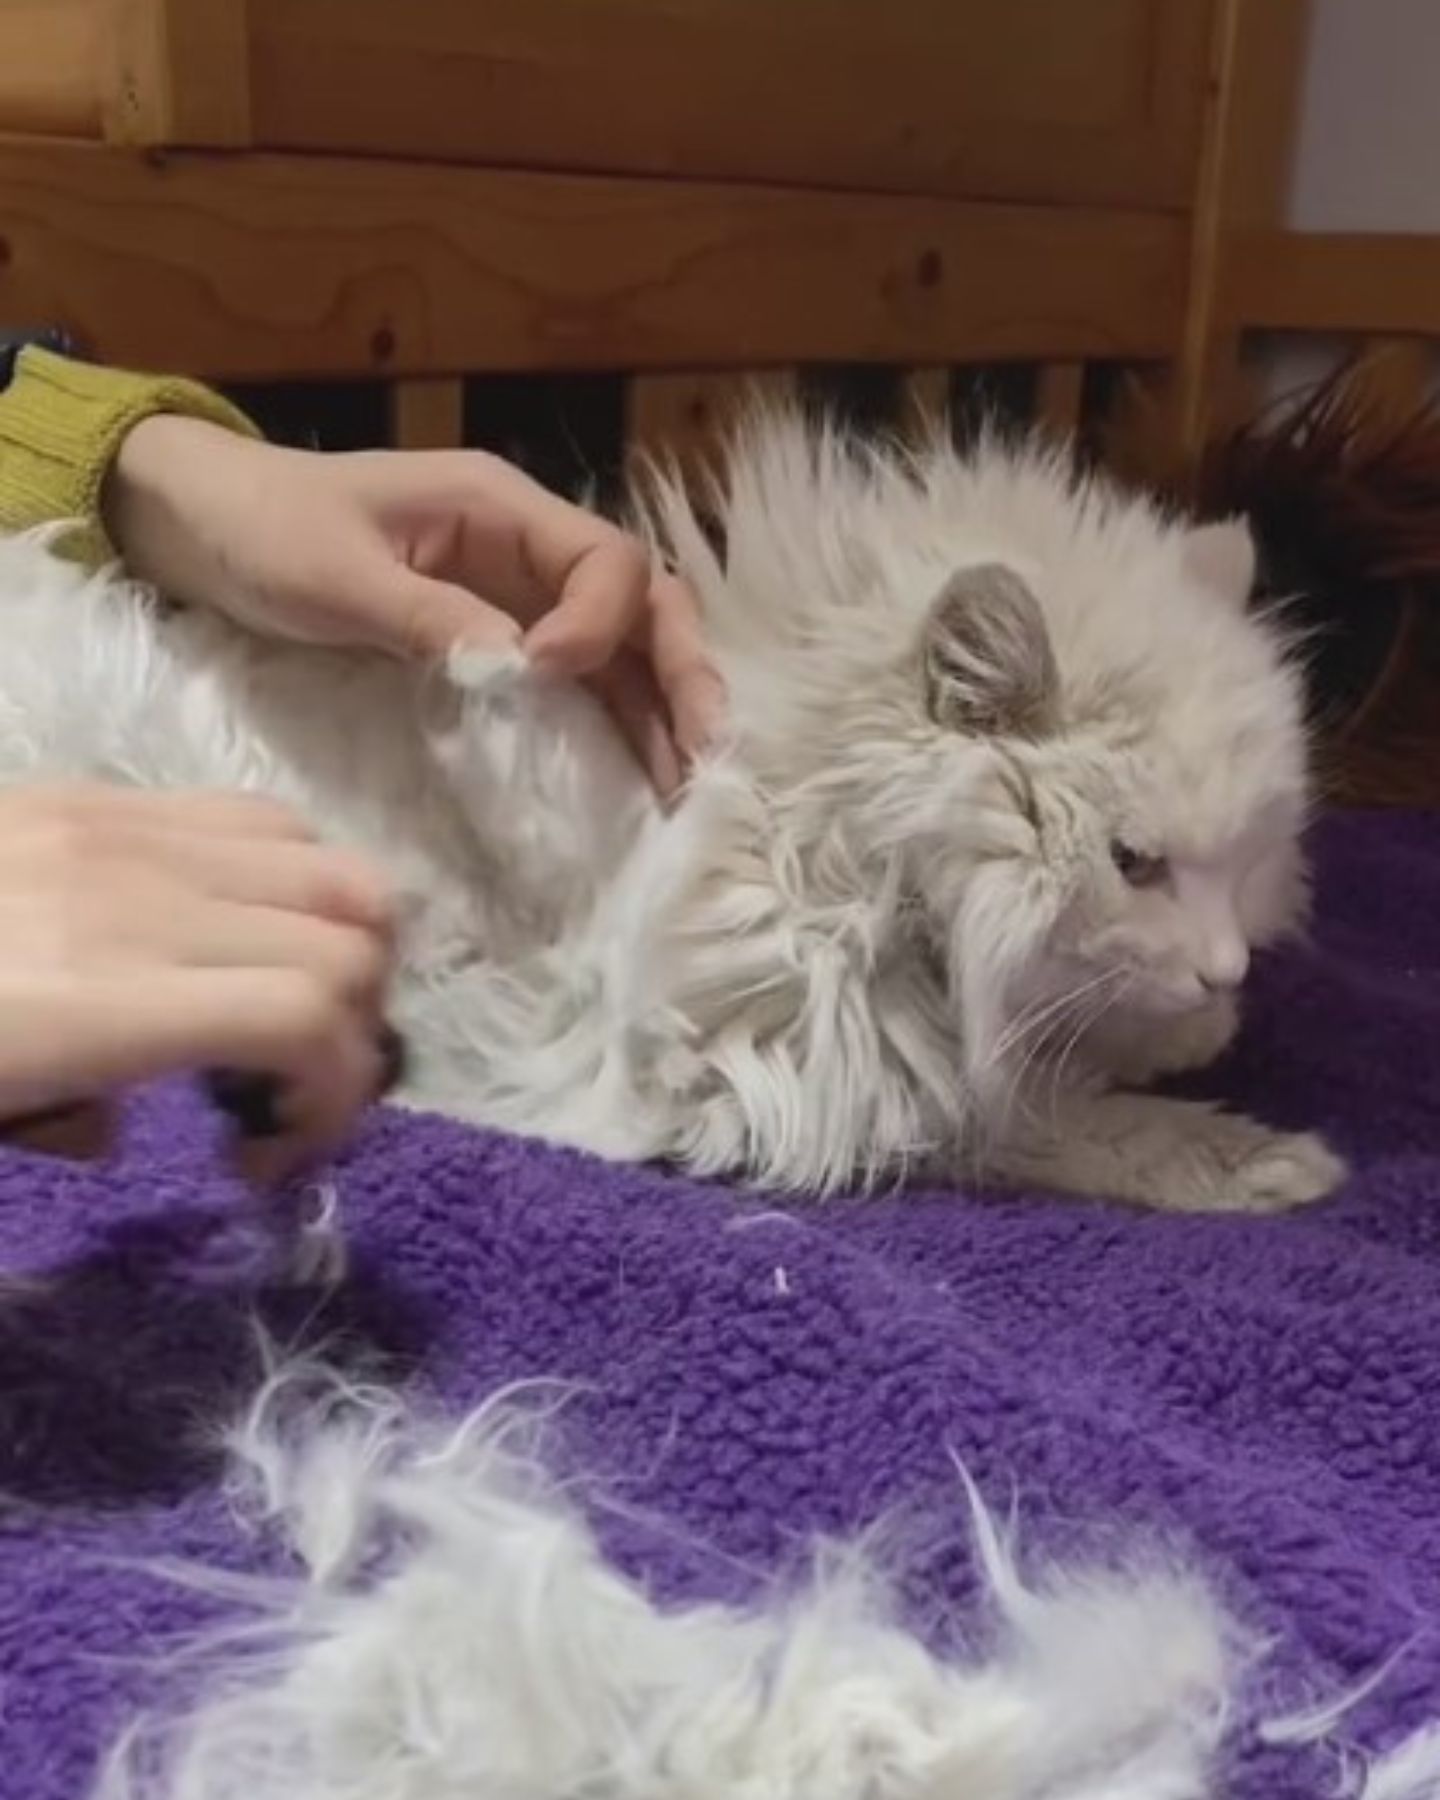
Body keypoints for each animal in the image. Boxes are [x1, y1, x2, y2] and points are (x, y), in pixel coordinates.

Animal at [0, 412, 1346, 1209]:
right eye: (1135, 860)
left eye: (1248, 864)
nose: (1229, 968)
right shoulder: (678, 1001)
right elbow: (524, 728)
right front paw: (496, 650)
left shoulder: (898, 1082)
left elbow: (1105, 1110)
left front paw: (1230, 1100)